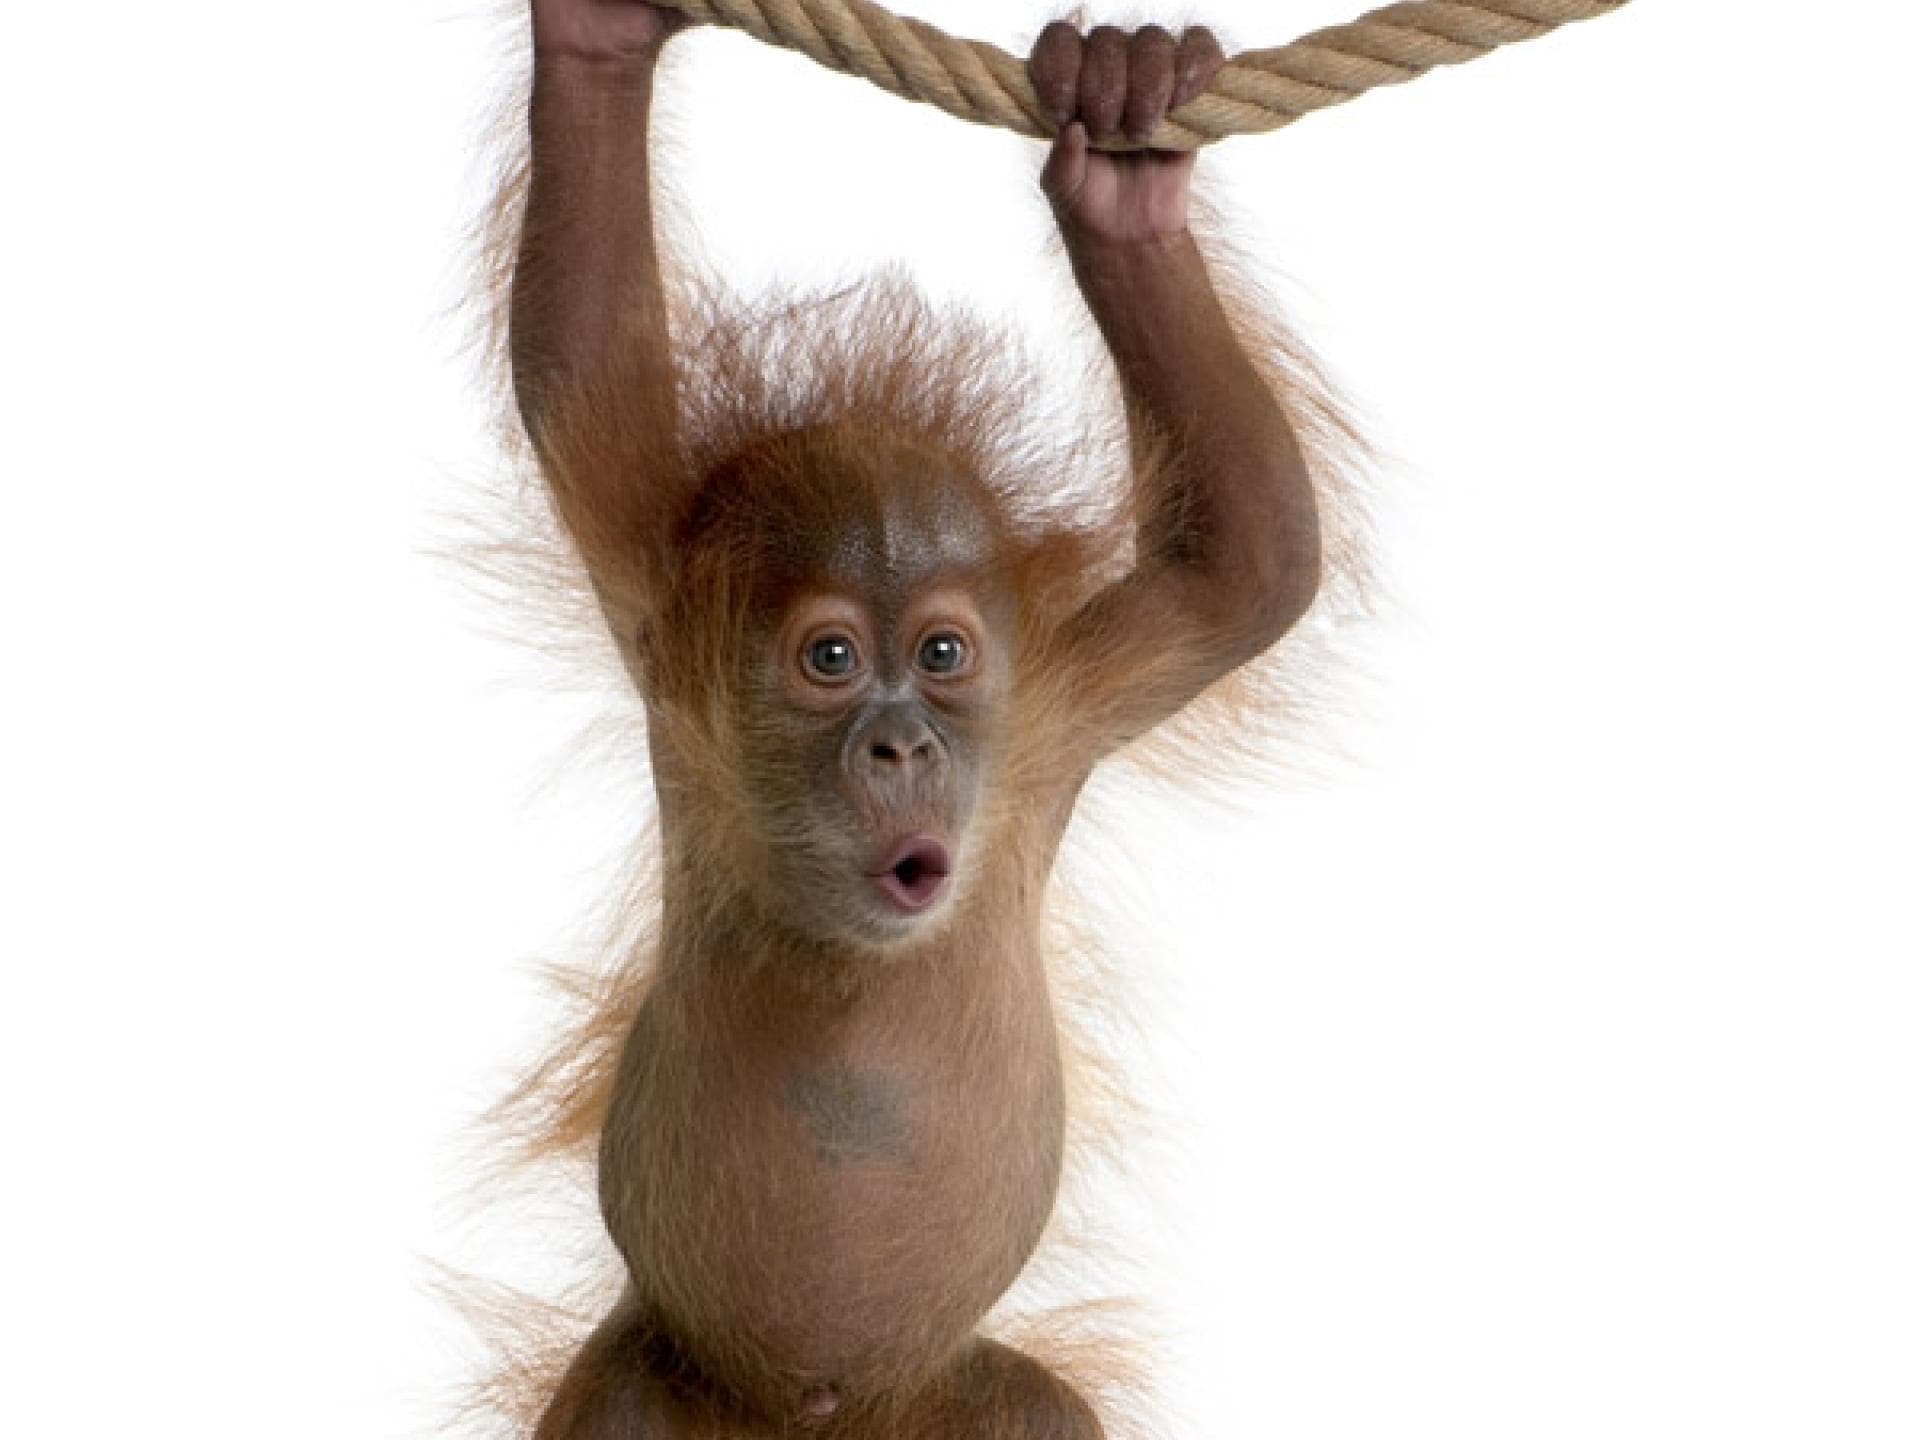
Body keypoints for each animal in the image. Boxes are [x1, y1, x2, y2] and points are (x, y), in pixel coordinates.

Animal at [483, 1, 1365, 1435]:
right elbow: (578, 362)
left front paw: (1124, 165)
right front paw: (598, 42)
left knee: (1041, 1408)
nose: (901, 742)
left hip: (957, 1398)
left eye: (943, 654)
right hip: (658, 1378)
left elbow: (1253, 562)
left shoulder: (1069, 703)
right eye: (833, 659)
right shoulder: (663, 625)